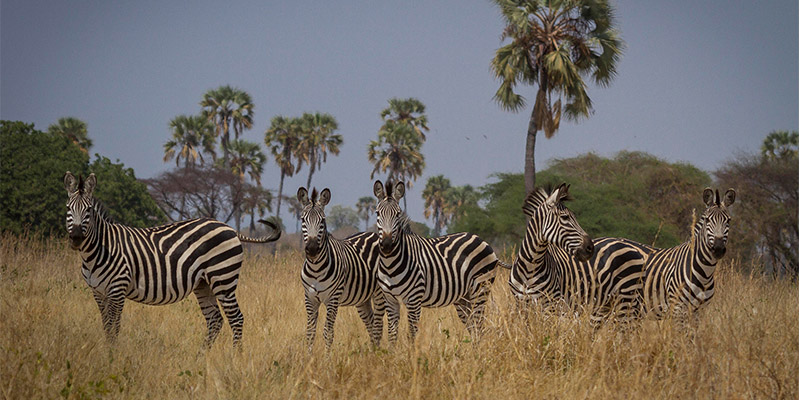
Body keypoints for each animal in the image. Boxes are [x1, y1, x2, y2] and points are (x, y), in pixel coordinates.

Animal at [63, 171, 282, 346]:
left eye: (88, 210)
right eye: (68, 209)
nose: (76, 238)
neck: (98, 251)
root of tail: (230, 228)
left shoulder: (118, 289)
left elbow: (114, 327)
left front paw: (112, 357)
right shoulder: (98, 292)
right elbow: (106, 327)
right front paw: (108, 353)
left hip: (223, 278)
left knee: (236, 318)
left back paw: (235, 357)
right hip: (203, 284)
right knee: (215, 320)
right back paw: (201, 357)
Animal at [296, 186, 398, 348]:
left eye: (322, 221)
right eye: (303, 220)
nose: (312, 249)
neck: (316, 268)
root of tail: (375, 235)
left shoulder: (333, 299)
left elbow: (328, 333)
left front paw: (327, 355)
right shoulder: (309, 299)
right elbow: (310, 333)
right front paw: (308, 355)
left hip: (379, 294)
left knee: (377, 327)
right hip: (362, 298)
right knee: (370, 324)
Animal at [374, 180, 500, 342]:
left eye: (397, 214)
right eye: (377, 213)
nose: (387, 245)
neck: (390, 265)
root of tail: (480, 239)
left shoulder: (414, 299)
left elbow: (412, 334)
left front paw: (411, 349)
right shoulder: (390, 300)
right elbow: (392, 335)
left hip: (481, 289)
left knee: (478, 327)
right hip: (463, 297)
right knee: (473, 328)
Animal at [510, 183, 648, 324]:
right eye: (565, 217)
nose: (590, 248)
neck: (530, 267)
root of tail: (634, 249)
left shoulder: (551, 305)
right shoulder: (521, 305)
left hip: (627, 298)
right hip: (608, 303)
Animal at [636, 188, 736, 322]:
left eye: (728, 220)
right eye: (707, 220)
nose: (718, 248)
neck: (705, 274)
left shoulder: (700, 312)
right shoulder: (677, 309)